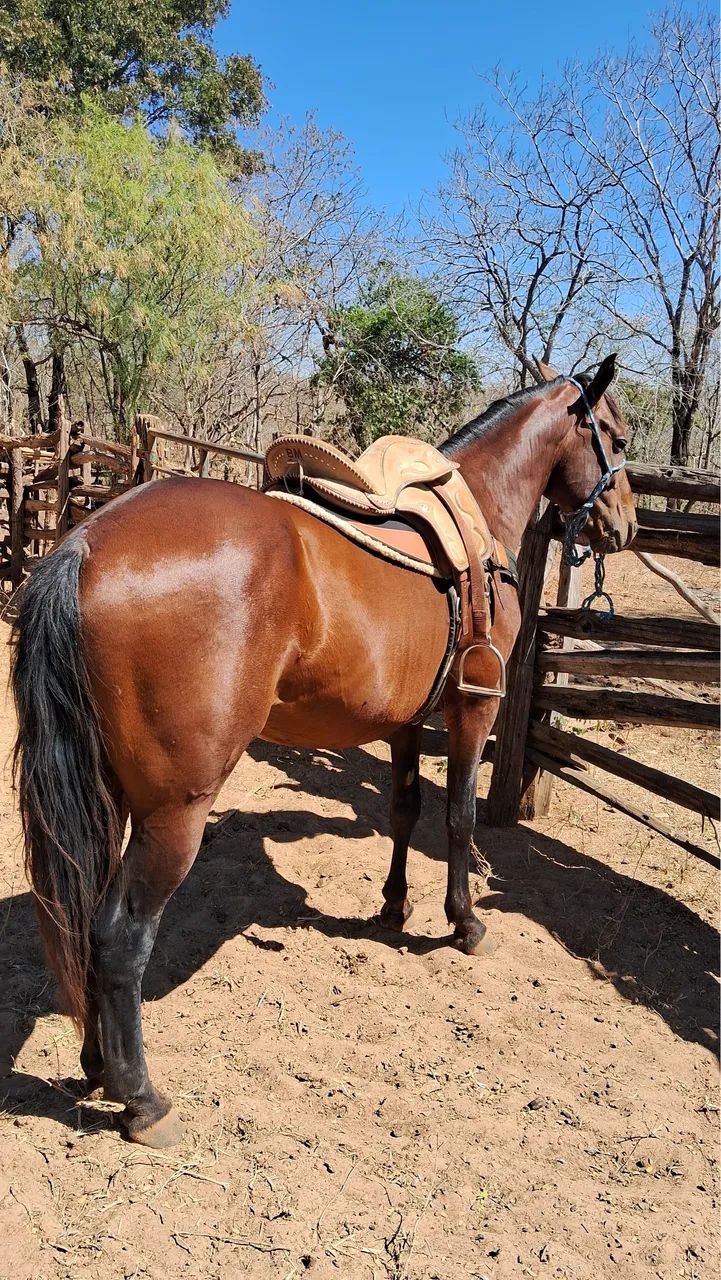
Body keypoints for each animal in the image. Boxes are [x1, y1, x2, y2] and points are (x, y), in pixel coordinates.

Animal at [11, 355, 637, 1148]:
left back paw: (97, 1065)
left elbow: (404, 808)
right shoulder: (473, 705)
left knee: (83, 917)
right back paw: (143, 1101)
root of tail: (83, 546)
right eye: (617, 434)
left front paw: (394, 907)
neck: (481, 513)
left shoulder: (406, 717)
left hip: (109, 794)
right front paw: (465, 924)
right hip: (175, 811)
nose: (626, 522)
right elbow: (458, 818)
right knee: (120, 936)